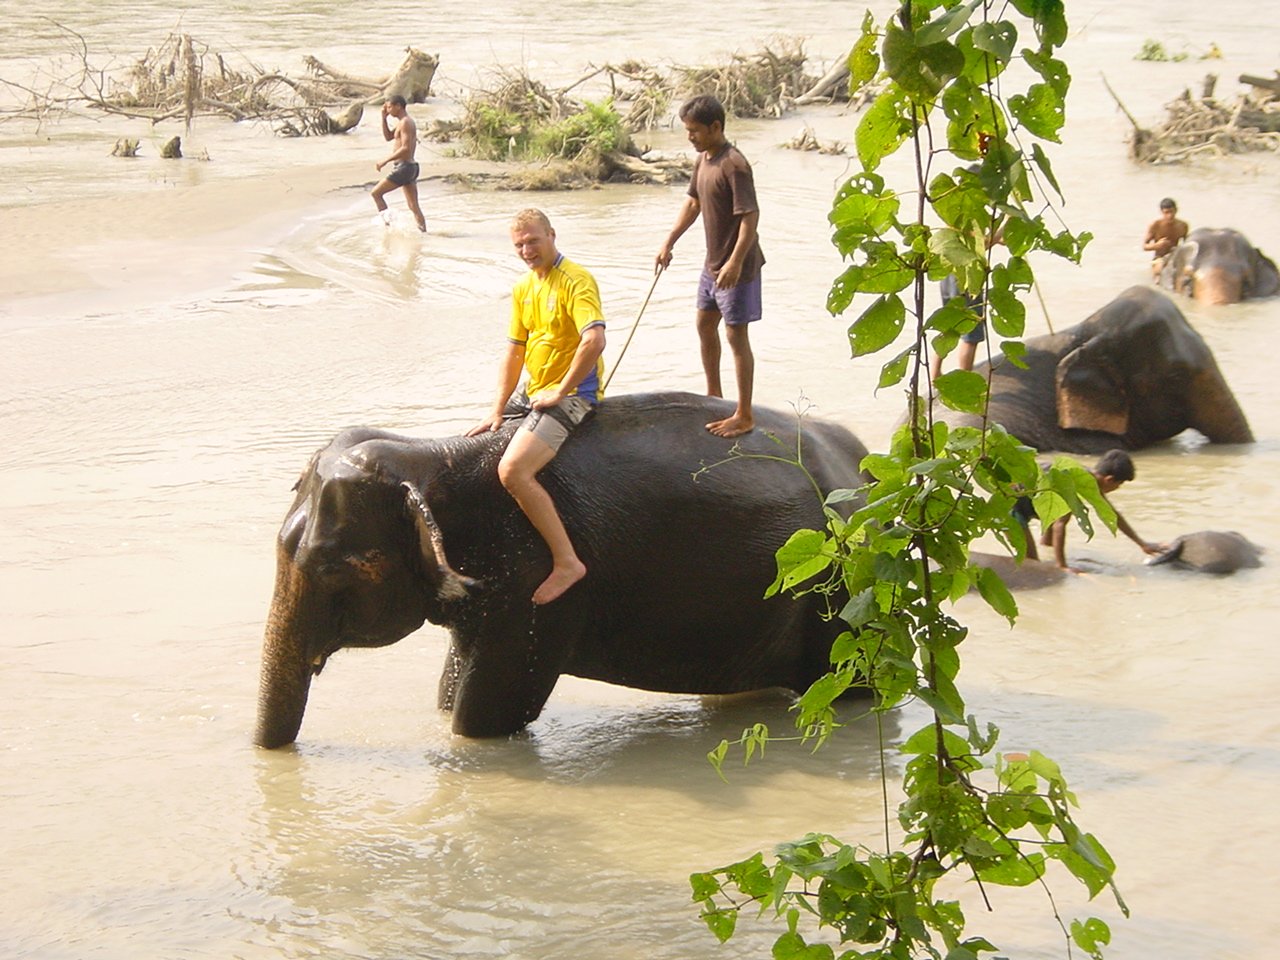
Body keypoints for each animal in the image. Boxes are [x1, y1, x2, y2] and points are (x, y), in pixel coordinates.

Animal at [249, 391, 870, 752]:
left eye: (335, 571)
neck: (432, 456)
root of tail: (864, 466)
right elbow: (451, 690)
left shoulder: (537, 585)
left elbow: (485, 716)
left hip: (843, 596)